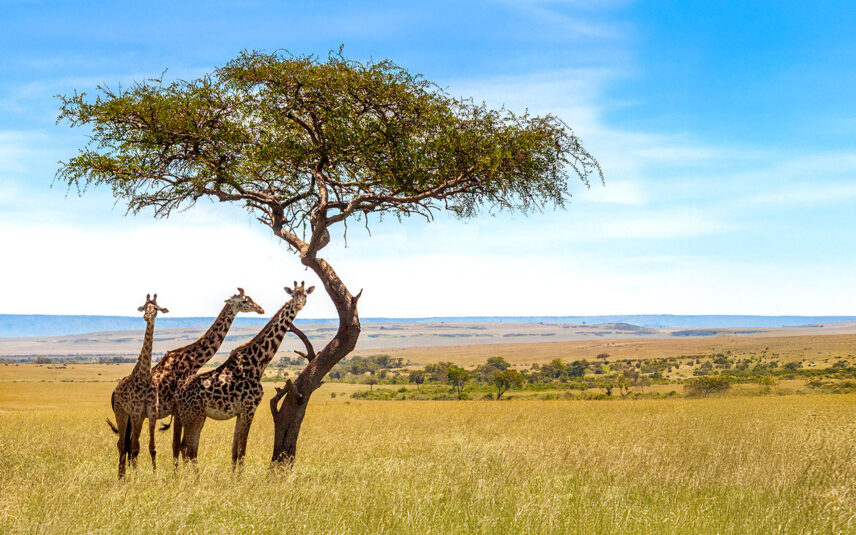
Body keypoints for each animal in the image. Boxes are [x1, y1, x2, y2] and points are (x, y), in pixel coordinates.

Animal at [109, 293, 168, 479]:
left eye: (156, 308)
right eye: (144, 307)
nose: (146, 316)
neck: (144, 376)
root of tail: (114, 392)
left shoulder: (151, 413)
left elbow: (152, 447)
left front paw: (155, 478)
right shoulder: (135, 412)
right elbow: (135, 447)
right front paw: (135, 478)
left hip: (136, 418)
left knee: (128, 443)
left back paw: (124, 474)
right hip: (121, 413)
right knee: (123, 443)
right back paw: (121, 477)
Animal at [151, 288, 265, 466]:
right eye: (244, 301)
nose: (260, 309)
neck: (192, 360)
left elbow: (182, 445)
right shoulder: (177, 408)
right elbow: (178, 445)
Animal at [175, 281, 314, 468]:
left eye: (304, 295)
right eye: (293, 295)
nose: (298, 305)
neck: (258, 362)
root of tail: (178, 394)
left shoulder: (240, 412)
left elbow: (235, 451)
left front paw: (233, 475)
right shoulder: (250, 408)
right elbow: (242, 450)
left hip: (195, 416)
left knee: (186, 448)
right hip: (193, 416)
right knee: (189, 450)